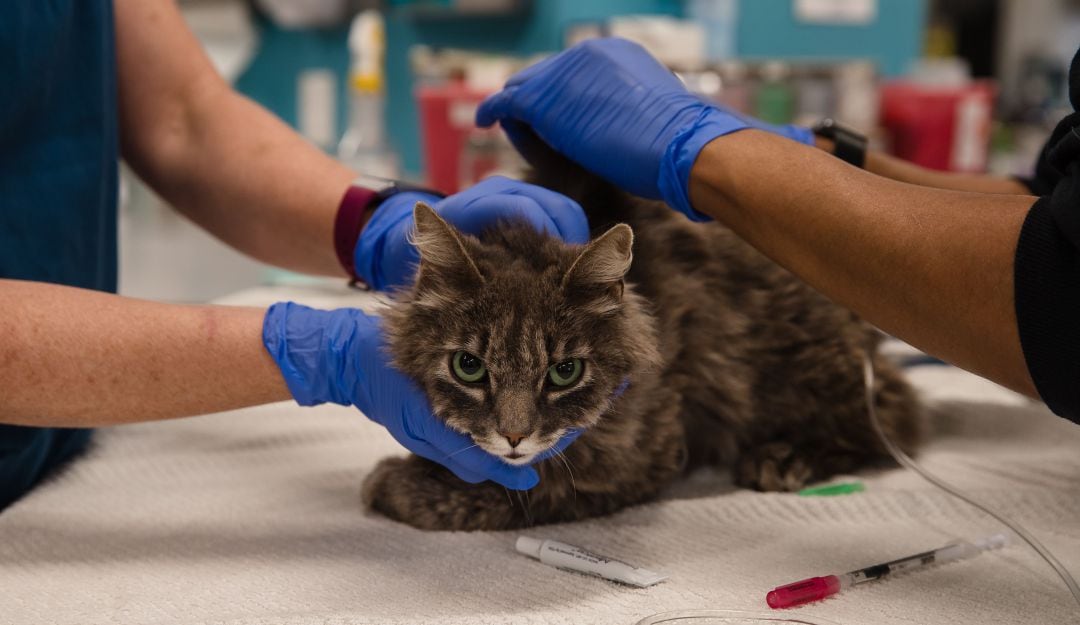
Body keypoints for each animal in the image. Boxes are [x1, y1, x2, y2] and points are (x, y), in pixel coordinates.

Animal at [360, 154, 920, 531]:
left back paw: (782, 458)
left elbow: (525, 492)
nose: (514, 436)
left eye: (565, 372)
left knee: (893, 417)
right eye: (469, 366)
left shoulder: (638, 458)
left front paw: (394, 483)